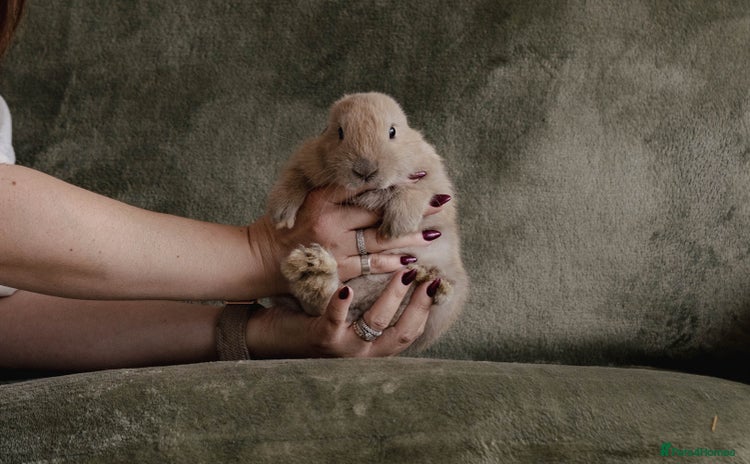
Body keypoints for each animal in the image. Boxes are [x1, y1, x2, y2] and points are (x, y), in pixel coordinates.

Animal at [266, 92, 467, 350]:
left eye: (392, 131)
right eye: (339, 132)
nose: (365, 170)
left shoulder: (435, 184)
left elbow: (418, 190)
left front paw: (398, 224)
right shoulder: (306, 158)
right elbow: (294, 177)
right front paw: (281, 213)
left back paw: (431, 279)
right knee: (327, 303)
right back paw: (312, 272)